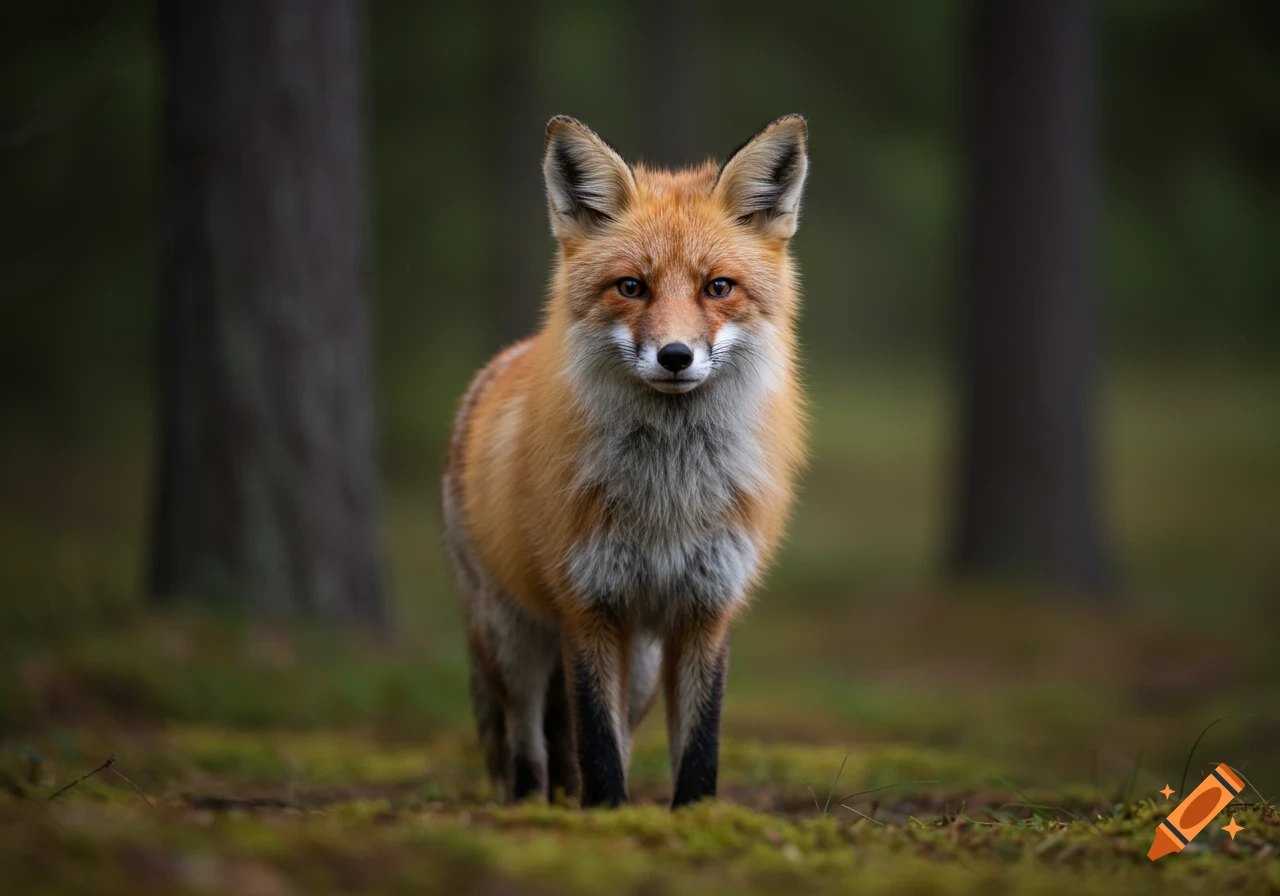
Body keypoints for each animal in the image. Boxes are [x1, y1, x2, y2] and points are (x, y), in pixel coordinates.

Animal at [442, 114, 809, 809]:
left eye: (718, 287)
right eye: (631, 287)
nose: (675, 356)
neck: (667, 497)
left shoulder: (707, 607)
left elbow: (698, 745)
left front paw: (692, 816)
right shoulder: (586, 604)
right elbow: (596, 742)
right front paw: (607, 815)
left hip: (638, 662)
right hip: (514, 639)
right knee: (531, 740)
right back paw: (532, 806)